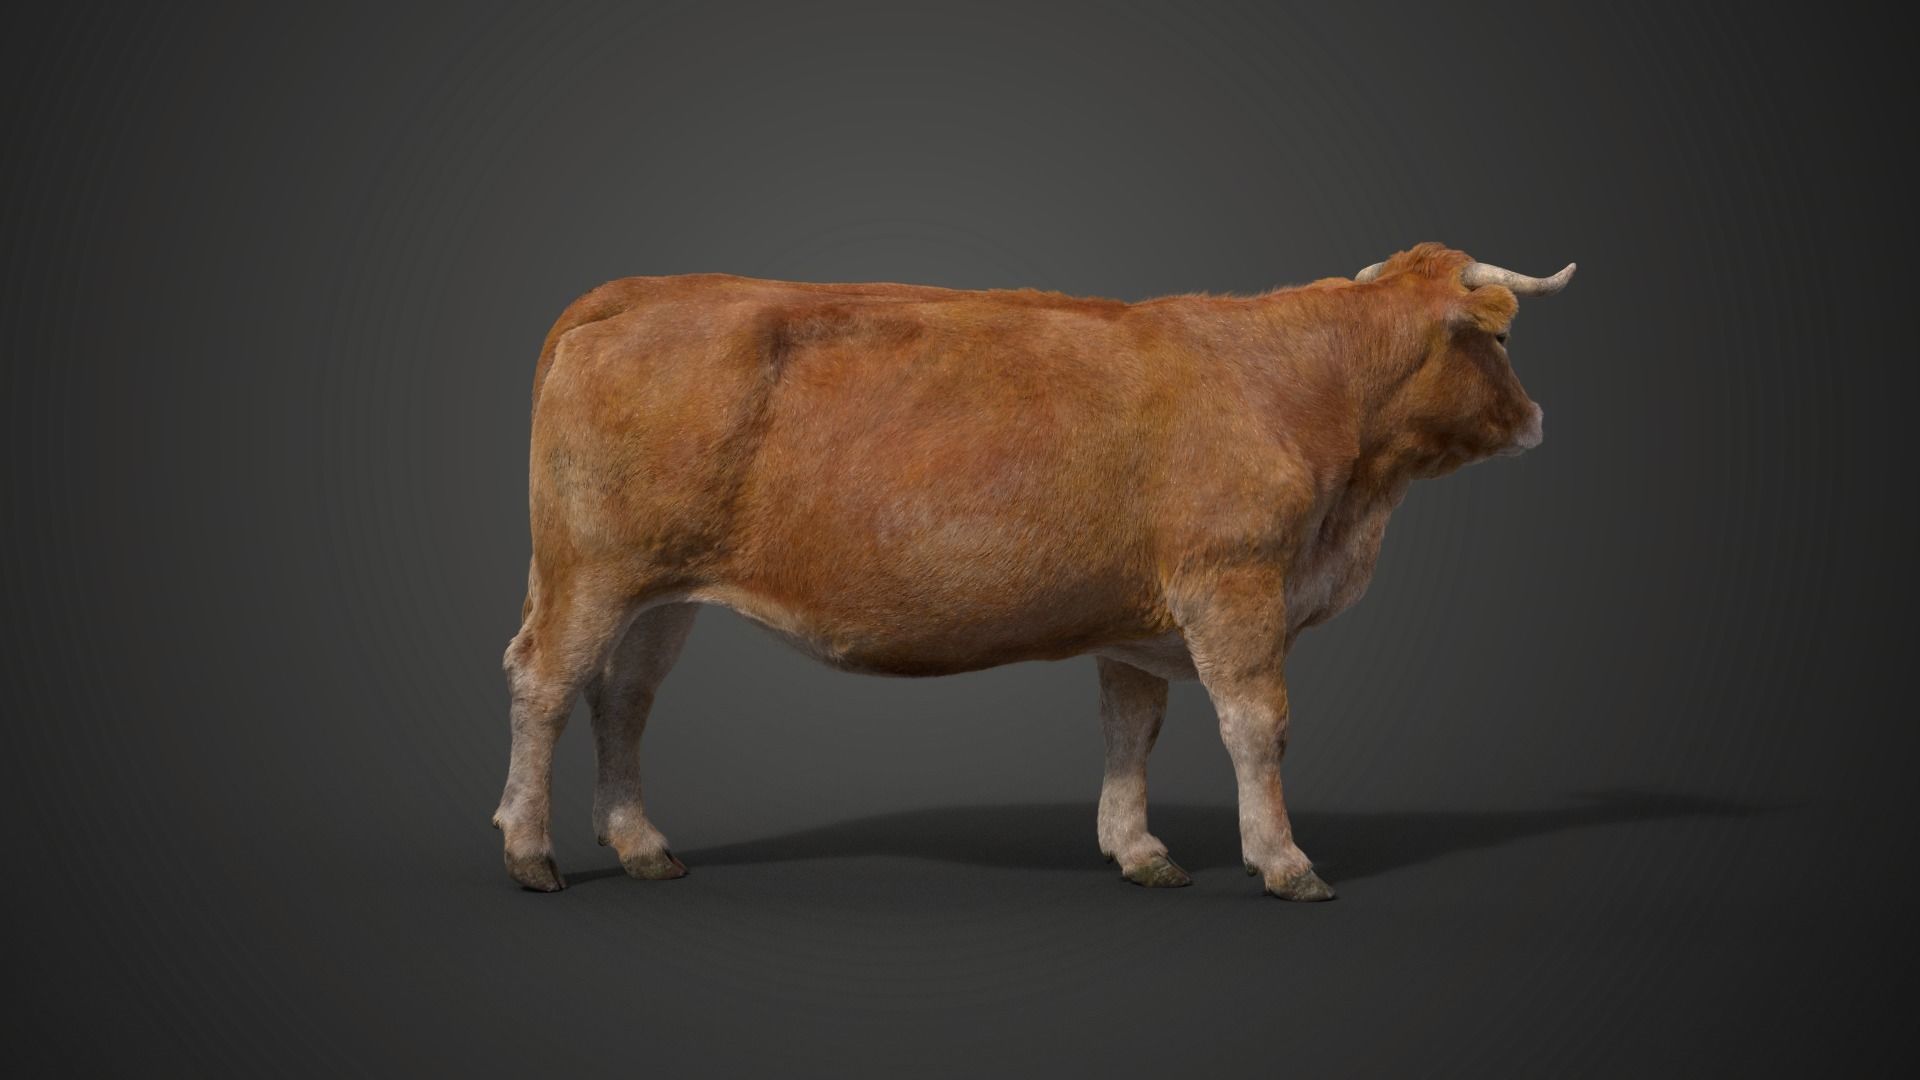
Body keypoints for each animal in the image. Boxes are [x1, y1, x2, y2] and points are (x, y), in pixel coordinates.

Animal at [492, 242, 1575, 900]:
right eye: (1501, 338)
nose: (1536, 421)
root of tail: (646, 290)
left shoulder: (1140, 618)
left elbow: (1133, 729)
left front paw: (1139, 850)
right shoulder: (1233, 583)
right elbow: (1257, 725)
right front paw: (1284, 860)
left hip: (659, 593)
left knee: (623, 697)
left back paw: (641, 845)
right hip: (592, 572)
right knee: (544, 683)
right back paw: (530, 850)